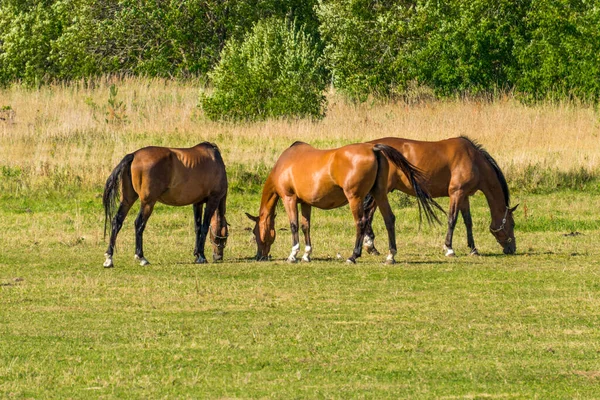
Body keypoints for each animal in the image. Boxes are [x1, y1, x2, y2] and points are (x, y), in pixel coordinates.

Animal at [245, 142, 440, 264]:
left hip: (355, 198)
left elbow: (294, 225)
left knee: (361, 223)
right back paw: (390, 256)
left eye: (255, 233)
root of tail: (373, 148)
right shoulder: (306, 203)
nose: (259, 256)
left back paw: (353, 256)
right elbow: (306, 226)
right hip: (379, 194)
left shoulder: (289, 198)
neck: (285, 164)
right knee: (389, 220)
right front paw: (307, 255)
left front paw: (293, 255)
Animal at [364, 137, 516, 256]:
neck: (474, 160)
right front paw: (449, 248)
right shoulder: (456, 193)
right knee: (368, 213)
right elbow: (452, 219)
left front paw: (473, 249)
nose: (512, 248)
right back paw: (370, 245)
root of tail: (371, 146)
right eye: (513, 224)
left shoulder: (464, 196)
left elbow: (468, 221)